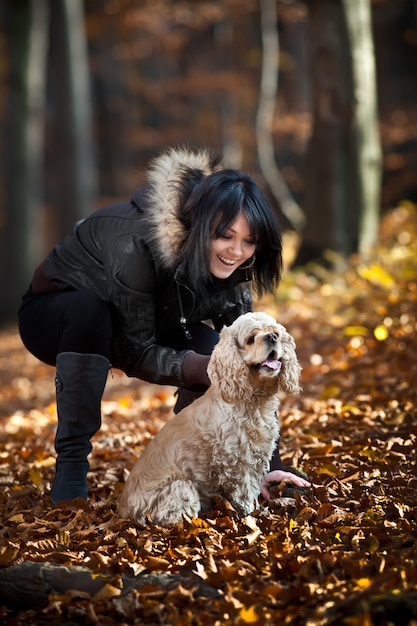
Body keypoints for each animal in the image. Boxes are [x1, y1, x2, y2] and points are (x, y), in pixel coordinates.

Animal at [118, 310, 300, 524]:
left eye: (276, 334)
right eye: (250, 339)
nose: (271, 337)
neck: (252, 401)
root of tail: (123, 511)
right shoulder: (236, 462)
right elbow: (245, 493)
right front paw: (252, 515)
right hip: (182, 488)